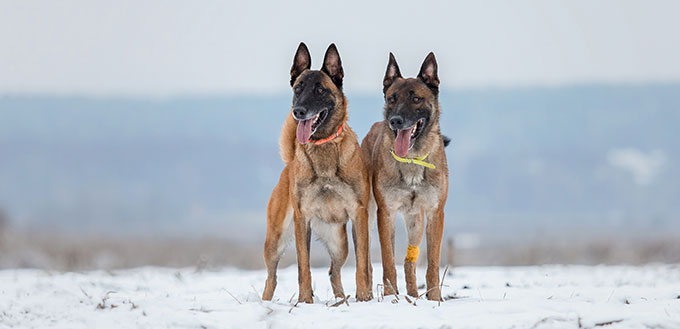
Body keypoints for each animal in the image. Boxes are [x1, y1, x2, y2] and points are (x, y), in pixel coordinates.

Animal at [262, 42, 374, 302]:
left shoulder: (358, 215)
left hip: (339, 243)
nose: (299, 111)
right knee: (271, 278)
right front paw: (305, 301)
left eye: (320, 90)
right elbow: (304, 266)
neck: (323, 146)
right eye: (298, 88)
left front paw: (364, 298)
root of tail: (289, 163)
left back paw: (342, 301)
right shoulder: (301, 219)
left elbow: (362, 265)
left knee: (334, 271)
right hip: (275, 240)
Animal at [362, 51, 452, 300]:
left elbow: (432, 263)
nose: (396, 121)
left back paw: (413, 295)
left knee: (409, 262)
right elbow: (387, 261)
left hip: (415, 222)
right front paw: (390, 297)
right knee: (368, 261)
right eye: (392, 98)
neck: (412, 158)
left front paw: (434, 298)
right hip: (369, 217)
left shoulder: (435, 213)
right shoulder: (386, 214)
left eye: (416, 99)